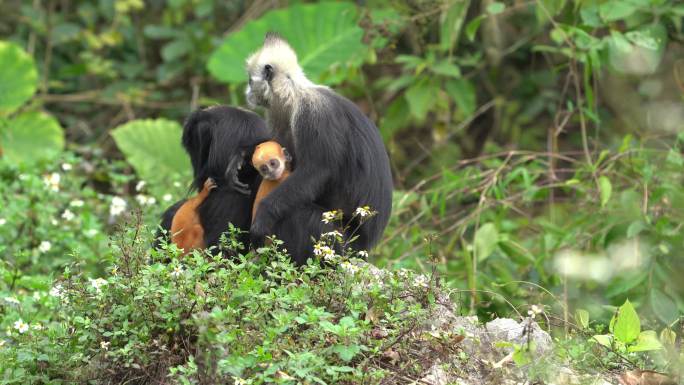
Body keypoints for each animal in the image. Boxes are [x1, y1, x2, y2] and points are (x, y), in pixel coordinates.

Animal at [243, 33, 392, 260]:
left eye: (251, 81)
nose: (247, 91)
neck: (295, 94)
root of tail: (365, 248)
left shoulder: (313, 114)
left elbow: (316, 171)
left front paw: (263, 215)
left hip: (340, 242)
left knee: (300, 214)